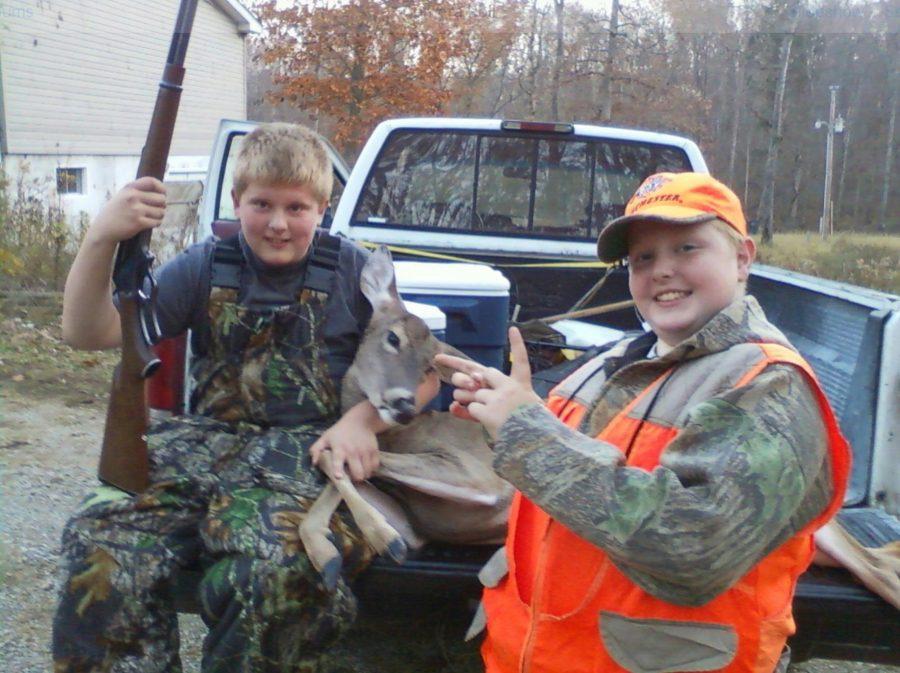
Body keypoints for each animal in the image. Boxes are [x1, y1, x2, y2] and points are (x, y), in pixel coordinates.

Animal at [300, 247, 512, 588]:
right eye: (393, 338)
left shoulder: (481, 475)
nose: (404, 405)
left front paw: (383, 539)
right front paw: (327, 554)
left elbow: (333, 455)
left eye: (430, 367)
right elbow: (336, 463)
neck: (399, 435)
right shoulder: (416, 527)